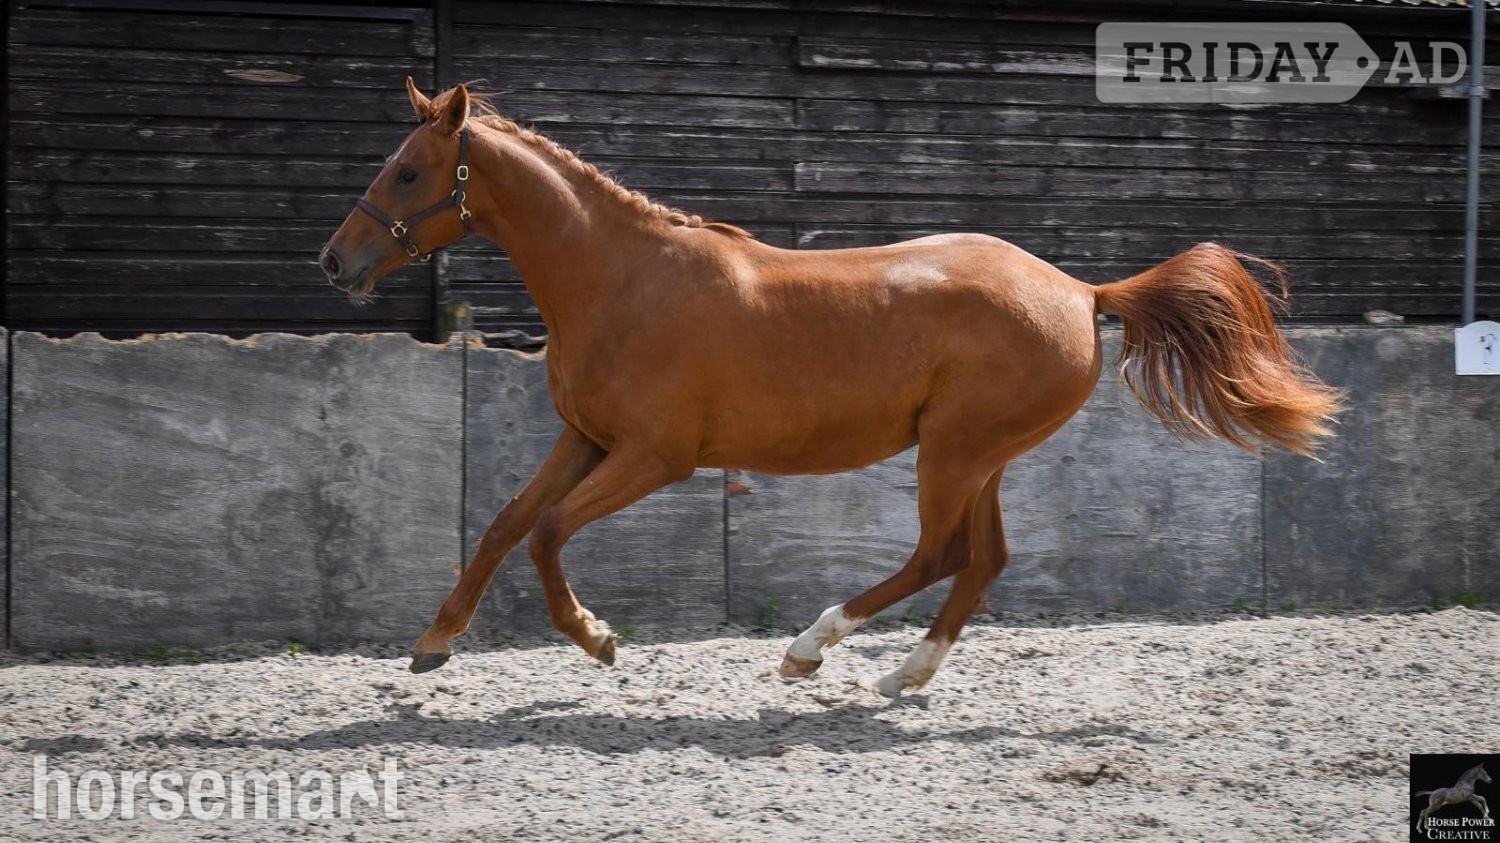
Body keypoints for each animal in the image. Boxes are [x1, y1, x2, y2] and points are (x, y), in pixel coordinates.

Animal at [319, 80, 1343, 697]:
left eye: (408, 170)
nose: (335, 262)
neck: (622, 280)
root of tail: (1083, 292)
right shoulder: (588, 439)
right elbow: (503, 522)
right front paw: (433, 642)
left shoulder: (655, 456)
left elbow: (546, 533)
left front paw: (597, 638)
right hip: (980, 456)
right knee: (983, 559)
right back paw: (904, 678)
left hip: (954, 450)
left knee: (937, 555)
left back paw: (809, 649)